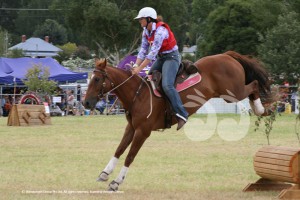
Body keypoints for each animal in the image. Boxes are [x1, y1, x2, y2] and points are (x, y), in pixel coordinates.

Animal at [83, 50, 274, 191]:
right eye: (89, 79)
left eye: (97, 79)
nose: (86, 103)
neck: (138, 93)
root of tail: (227, 55)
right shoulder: (131, 128)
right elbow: (119, 149)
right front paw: (105, 173)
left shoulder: (143, 132)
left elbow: (130, 156)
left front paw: (116, 182)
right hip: (230, 94)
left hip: (233, 92)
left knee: (254, 84)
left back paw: (261, 109)